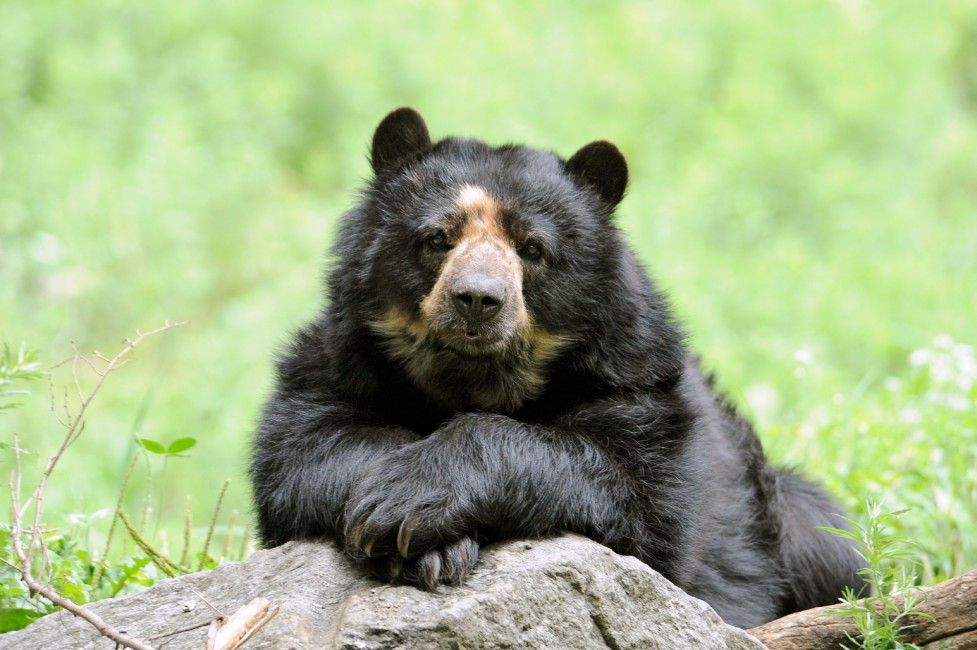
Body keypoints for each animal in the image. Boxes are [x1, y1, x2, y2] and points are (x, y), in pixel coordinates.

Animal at [250, 107, 860, 628]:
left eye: (532, 249)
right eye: (437, 238)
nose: (477, 299)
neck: (475, 380)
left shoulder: (635, 383)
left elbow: (641, 498)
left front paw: (407, 506)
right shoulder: (338, 362)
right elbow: (304, 450)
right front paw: (412, 540)